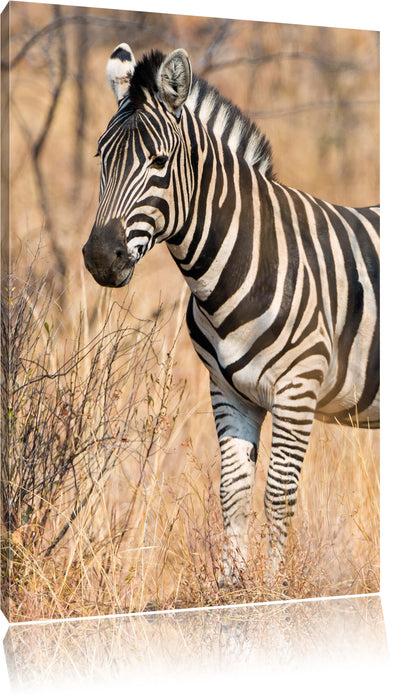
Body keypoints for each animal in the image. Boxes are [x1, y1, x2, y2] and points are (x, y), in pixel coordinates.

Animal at [82, 43, 379, 581]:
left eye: (159, 161)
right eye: (101, 158)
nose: (99, 258)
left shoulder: (298, 389)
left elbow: (278, 496)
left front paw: (275, 589)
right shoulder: (228, 392)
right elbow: (233, 492)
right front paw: (232, 587)